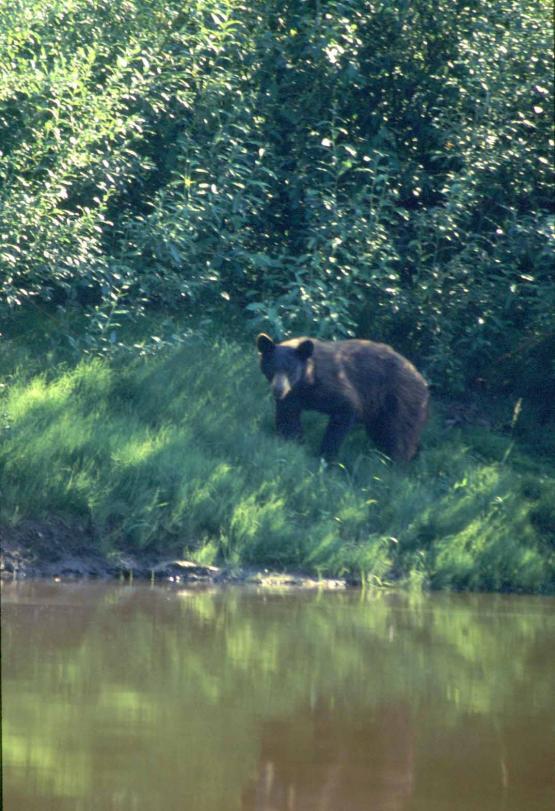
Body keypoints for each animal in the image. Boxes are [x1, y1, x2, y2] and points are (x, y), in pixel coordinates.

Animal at [256, 334, 430, 464]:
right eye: (272, 368)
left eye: (290, 370)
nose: (278, 389)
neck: (306, 382)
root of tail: (421, 379)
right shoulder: (292, 397)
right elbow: (288, 418)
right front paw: (293, 445)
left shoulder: (331, 385)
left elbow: (345, 408)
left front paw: (326, 456)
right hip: (379, 412)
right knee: (386, 433)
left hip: (399, 401)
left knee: (399, 434)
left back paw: (394, 463)